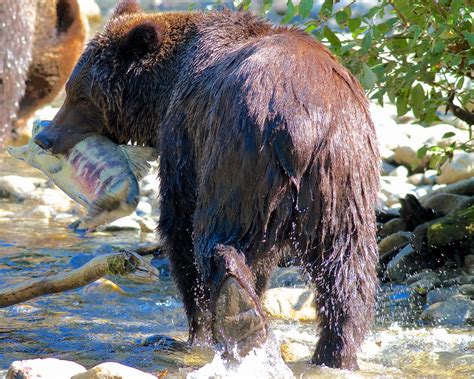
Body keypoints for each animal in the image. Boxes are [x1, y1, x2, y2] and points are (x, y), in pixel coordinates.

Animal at [35, 0, 380, 370]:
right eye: (72, 90)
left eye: (81, 96)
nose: (45, 137)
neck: (164, 88)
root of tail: (306, 127)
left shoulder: (184, 136)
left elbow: (179, 225)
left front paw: (193, 333)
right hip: (344, 181)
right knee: (348, 269)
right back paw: (333, 352)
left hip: (242, 156)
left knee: (216, 236)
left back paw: (240, 316)